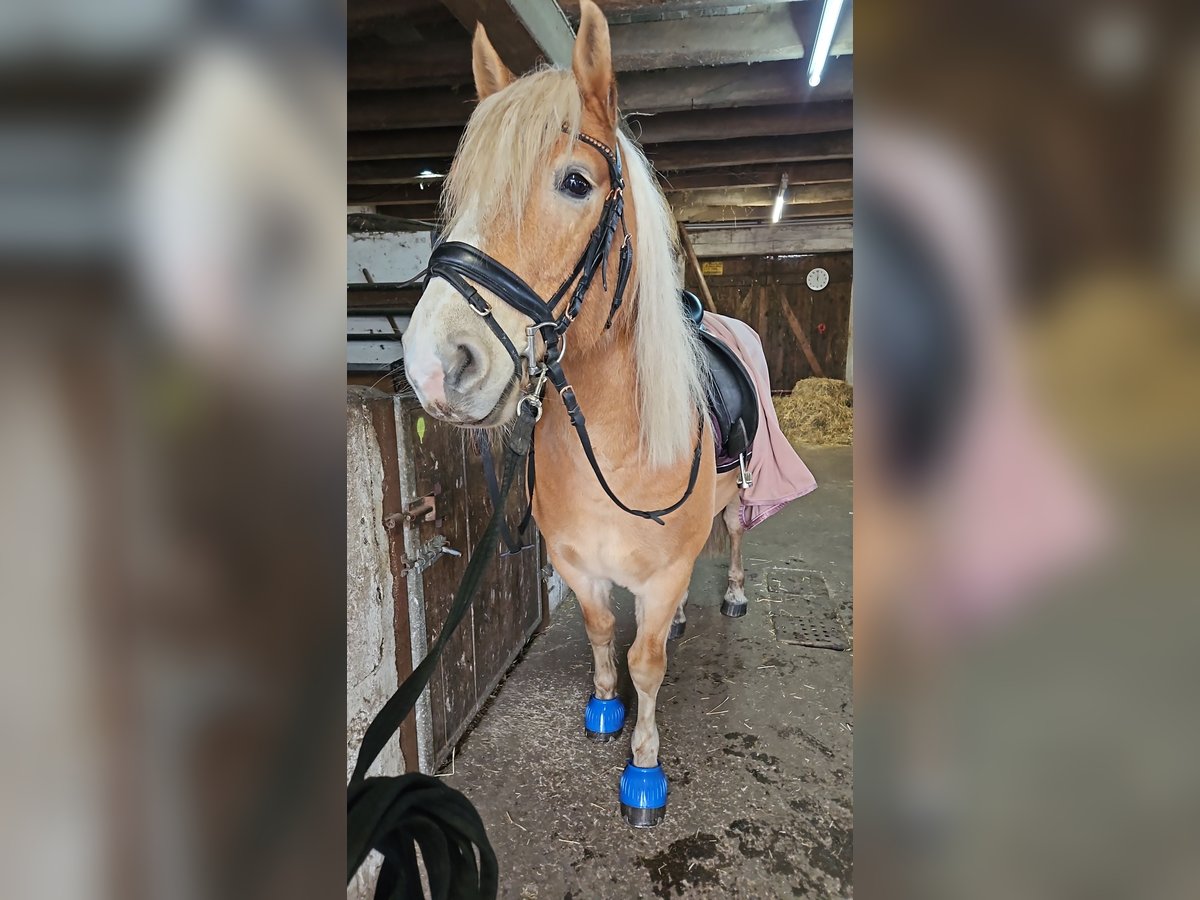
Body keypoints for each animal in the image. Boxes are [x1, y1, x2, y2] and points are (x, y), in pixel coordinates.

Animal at [401, 0, 752, 826]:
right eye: (457, 193)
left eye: (574, 182)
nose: (435, 366)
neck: (616, 444)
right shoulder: (579, 565)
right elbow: (600, 633)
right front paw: (604, 710)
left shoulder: (660, 574)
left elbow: (646, 661)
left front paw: (644, 771)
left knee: (733, 536)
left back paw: (732, 594)